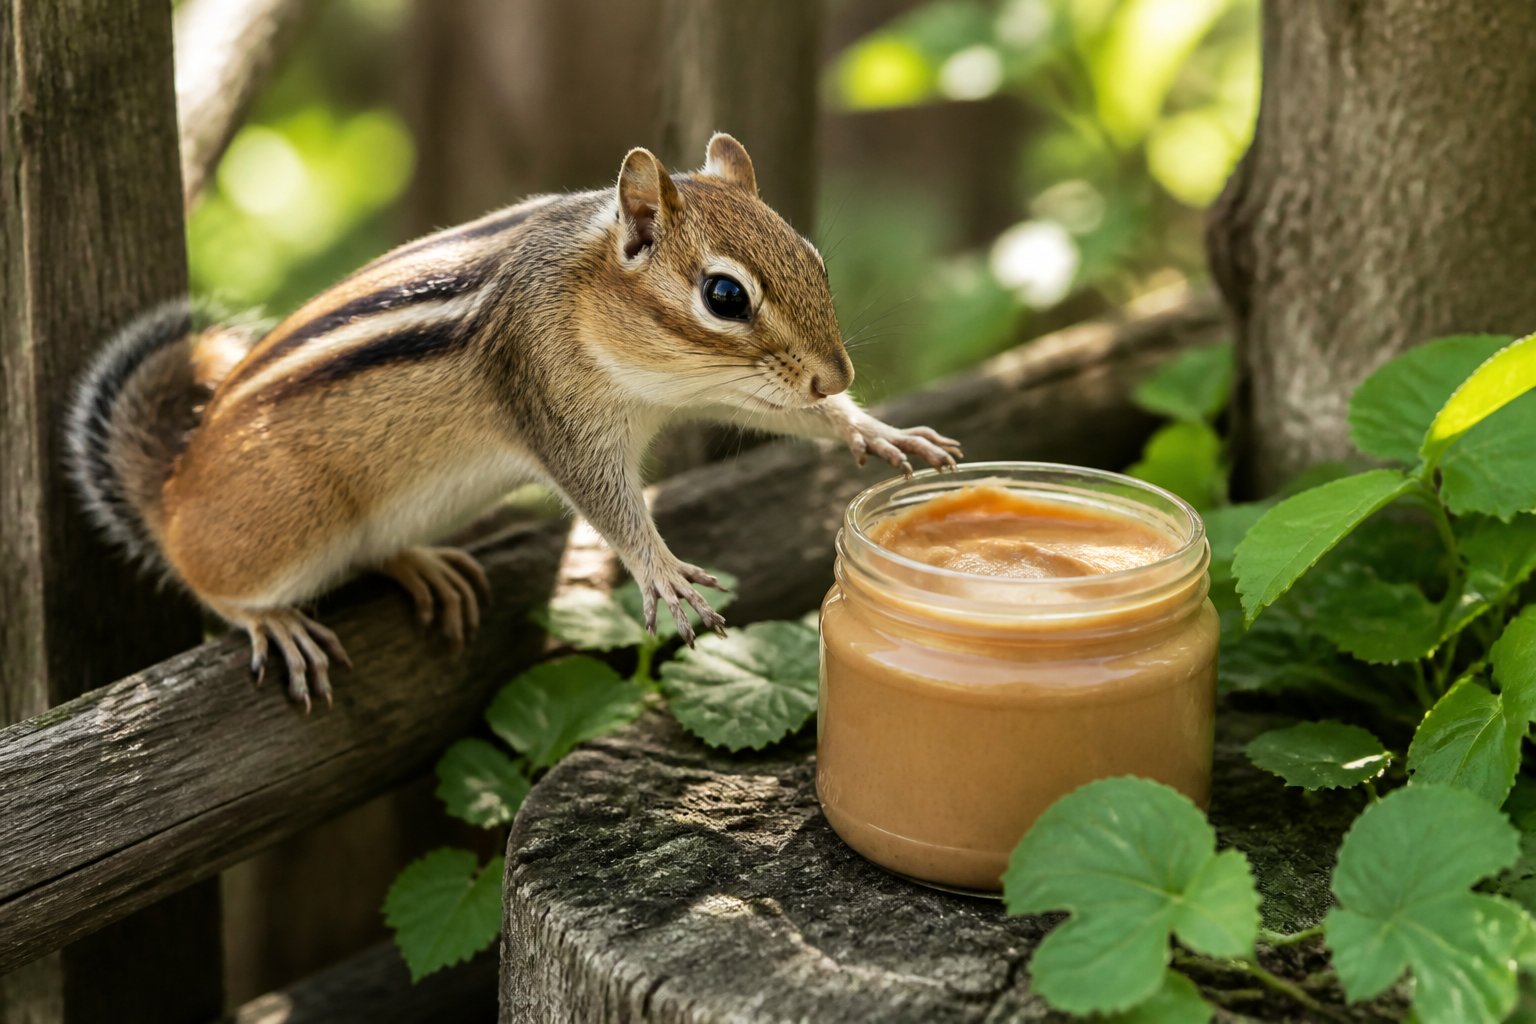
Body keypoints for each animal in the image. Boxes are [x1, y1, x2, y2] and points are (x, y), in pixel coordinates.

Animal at [67, 133, 963, 710]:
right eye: (724, 295)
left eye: (813, 257)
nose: (838, 372)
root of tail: (173, 488)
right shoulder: (551, 405)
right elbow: (606, 503)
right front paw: (663, 572)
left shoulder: (719, 391)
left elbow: (792, 413)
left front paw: (875, 429)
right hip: (281, 524)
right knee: (211, 582)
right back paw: (276, 621)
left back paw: (423, 567)